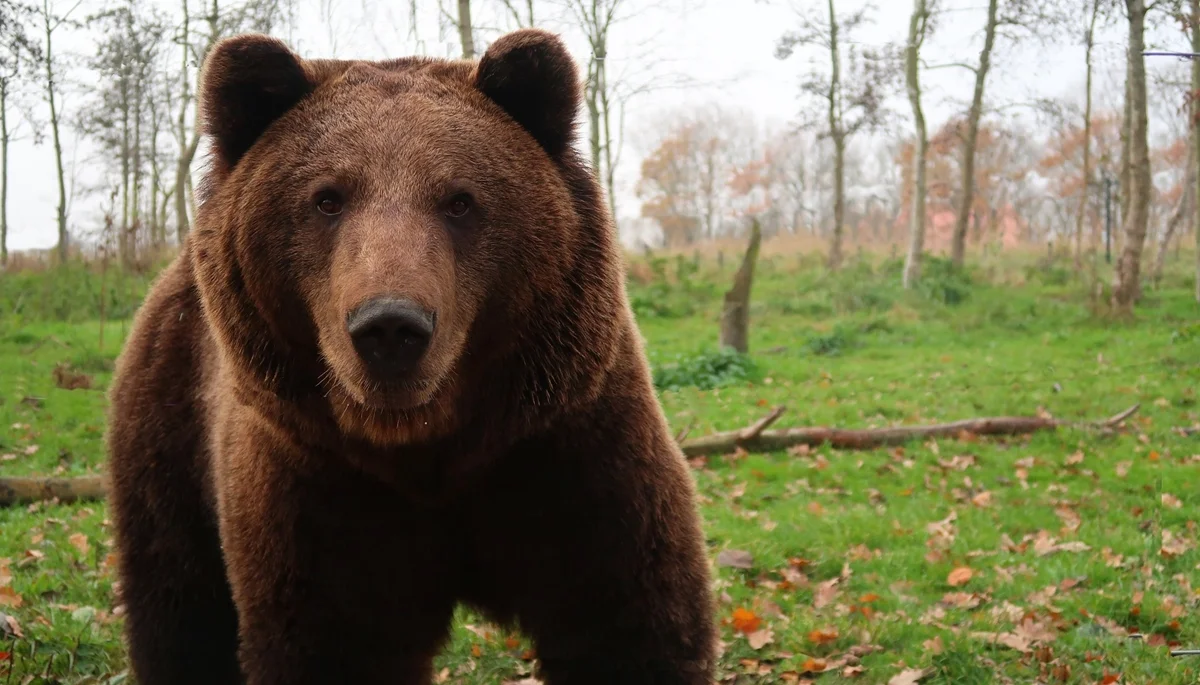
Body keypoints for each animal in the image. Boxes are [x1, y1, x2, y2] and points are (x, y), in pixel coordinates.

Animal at [103, 25, 715, 685]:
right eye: (327, 198)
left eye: (460, 200)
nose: (390, 327)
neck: (426, 450)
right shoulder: (320, 494)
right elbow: (332, 643)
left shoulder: (566, 455)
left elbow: (630, 623)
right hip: (170, 431)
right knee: (179, 606)